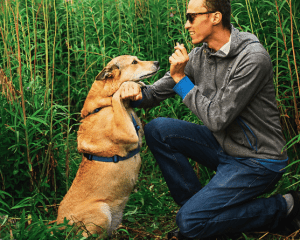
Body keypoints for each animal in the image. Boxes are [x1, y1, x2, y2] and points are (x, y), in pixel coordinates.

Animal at [55, 55, 159, 237]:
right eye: (134, 62)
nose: (158, 63)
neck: (103, 106)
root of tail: (57, 225)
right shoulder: (128, 133)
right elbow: (118, 95)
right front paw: (129, 87)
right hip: (102, 211)